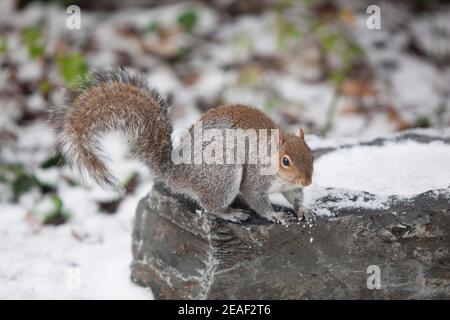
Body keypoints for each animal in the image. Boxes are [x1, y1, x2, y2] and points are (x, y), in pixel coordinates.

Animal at [49, 68, 314, 222]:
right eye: (285, 160)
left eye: (311, 155)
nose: (308, 182)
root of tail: (179, 172)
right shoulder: (256, 179)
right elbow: (256, 199)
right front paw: (275, 215)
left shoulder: (290, 186)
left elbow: (295, 196)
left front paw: (303, 210)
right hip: (224, 174)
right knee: (209, 205)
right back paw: (230, 213)